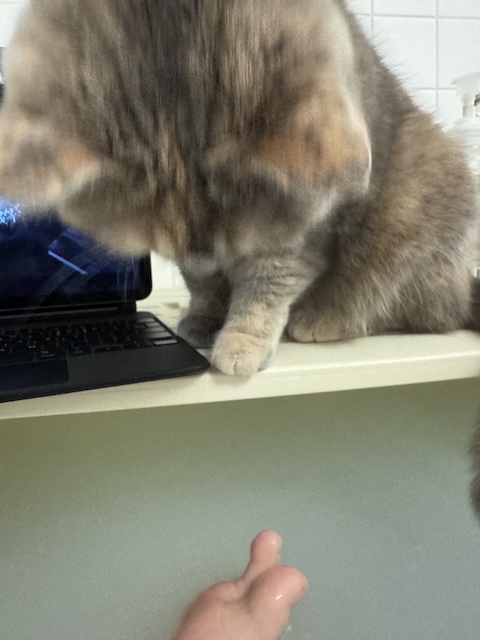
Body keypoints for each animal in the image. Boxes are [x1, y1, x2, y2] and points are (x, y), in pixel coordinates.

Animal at [0, 0, 477, 380]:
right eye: (153, 233)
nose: (205, 254)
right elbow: (203, 286)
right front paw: (202, 319)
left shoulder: (293, 235)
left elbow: (264, 287)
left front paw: (240, 342)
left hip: (411, 212)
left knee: (414, 307)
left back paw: (323, 317)